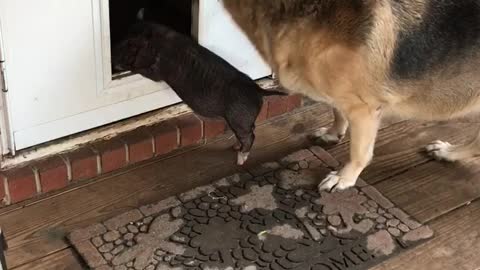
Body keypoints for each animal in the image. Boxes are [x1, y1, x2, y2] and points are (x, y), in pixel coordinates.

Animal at [223, 1, 480, 192]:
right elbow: (337, 111)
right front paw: (333, 133)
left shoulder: (365, 110)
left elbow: (359, 152)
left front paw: (344, 178)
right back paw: (449, 153)